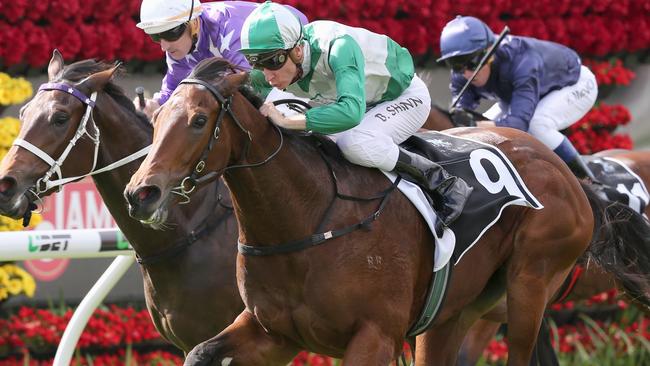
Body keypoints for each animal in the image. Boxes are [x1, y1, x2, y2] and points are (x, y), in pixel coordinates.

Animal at [123, 58, 648, 364]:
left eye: (198, 120)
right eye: (156, 118)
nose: (141, 193)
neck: (306, 217)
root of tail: (570, 177)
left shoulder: (374, 337)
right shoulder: (274, 332)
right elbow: (200, 353)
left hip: (529, 286)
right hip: (454, 314)